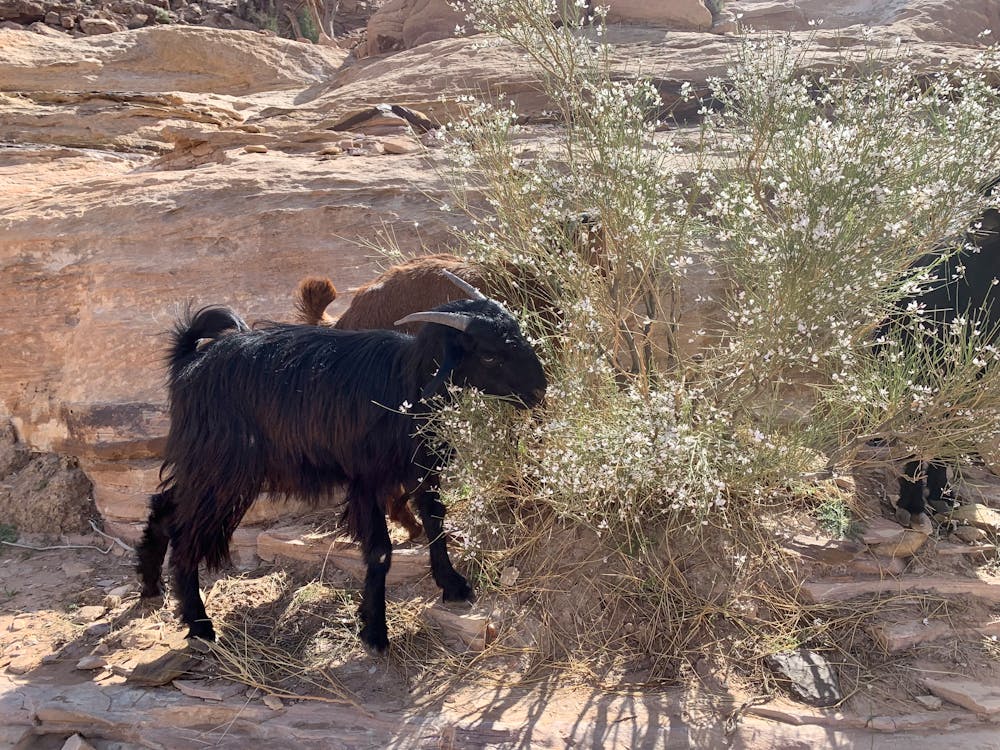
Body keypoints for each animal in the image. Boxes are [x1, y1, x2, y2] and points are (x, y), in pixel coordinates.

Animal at [137, 276, 548, 652]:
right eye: (490, 355)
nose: (539, 391)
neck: (404, 385)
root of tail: (189, 361)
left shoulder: (422, 469)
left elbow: (435, 521)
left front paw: (453, 585)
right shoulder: (366, 479)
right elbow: (380, 550)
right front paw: (375, 631)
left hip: (208, 466)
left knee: (164, 508)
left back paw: (151, 585)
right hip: (222, 468)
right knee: (184, 533)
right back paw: (199, 625)